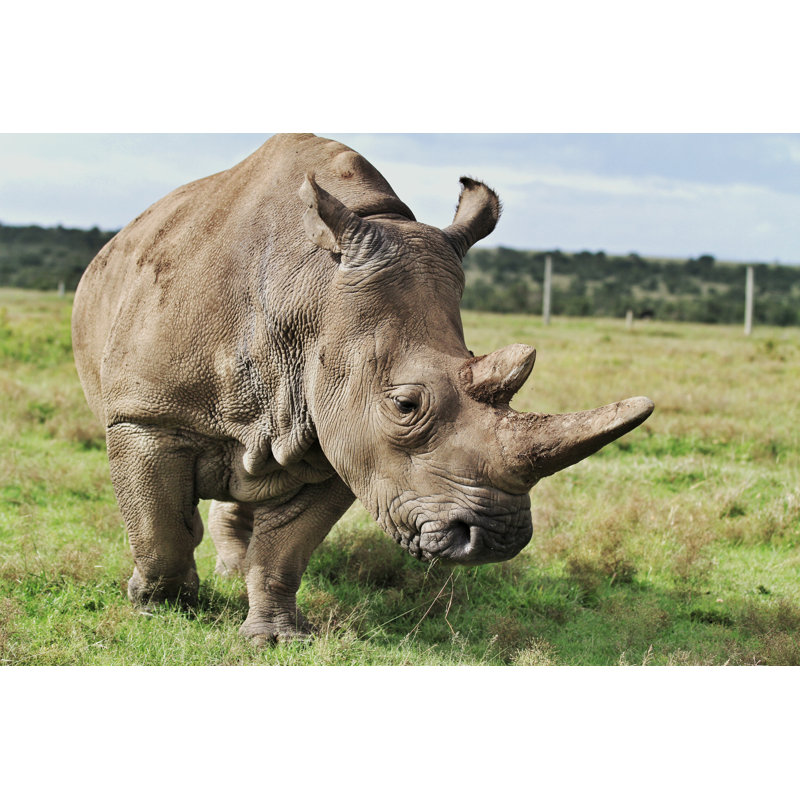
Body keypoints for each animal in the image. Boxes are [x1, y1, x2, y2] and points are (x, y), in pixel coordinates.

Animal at [72, 133, 653, 643]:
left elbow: (285, 550)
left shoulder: (341, 438)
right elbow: (159, 527)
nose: (497, 538)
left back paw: (233, 571)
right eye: (405, 404)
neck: (310, 293)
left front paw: (276, 639)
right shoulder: (147, 415)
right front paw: (161, 604)